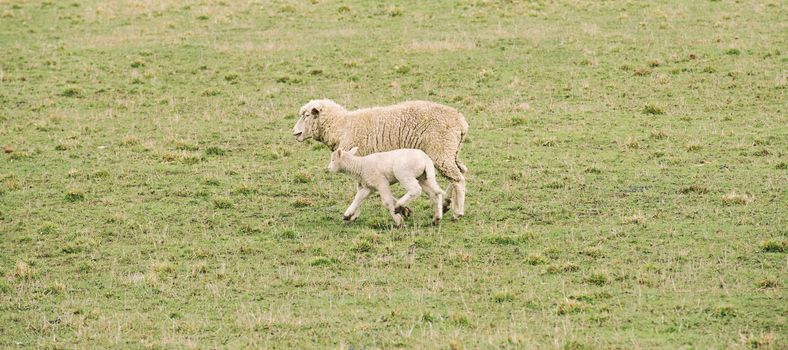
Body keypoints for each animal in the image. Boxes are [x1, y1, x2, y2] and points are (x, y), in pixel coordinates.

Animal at [294, 98, 468, 219]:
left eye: (307, 115)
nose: (295, 133)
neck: (342, 126)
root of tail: (461, 122)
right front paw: (403, 209)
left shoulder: (361, 161)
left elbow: (360, 189)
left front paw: (355, 214)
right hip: (451, 152)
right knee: (460, 173)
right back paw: (446, 203)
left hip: (441, 150)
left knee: (458, 179)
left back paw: (458, 212)